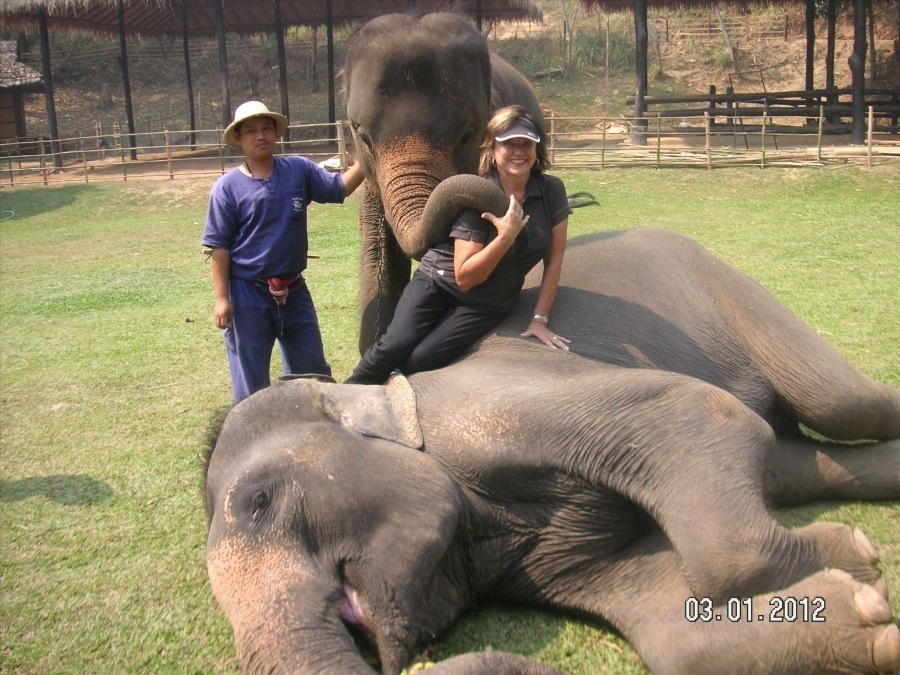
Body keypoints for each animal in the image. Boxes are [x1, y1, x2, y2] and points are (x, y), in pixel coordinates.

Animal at [206, 228, 900, 675]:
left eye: (259, 501)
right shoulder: (550, 558)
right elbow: (668, 629)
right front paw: (867, 603)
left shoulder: (495, 408)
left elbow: (701, 414)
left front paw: (860, 568)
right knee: (790, 458)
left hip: (734, 292)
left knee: (842, 403)